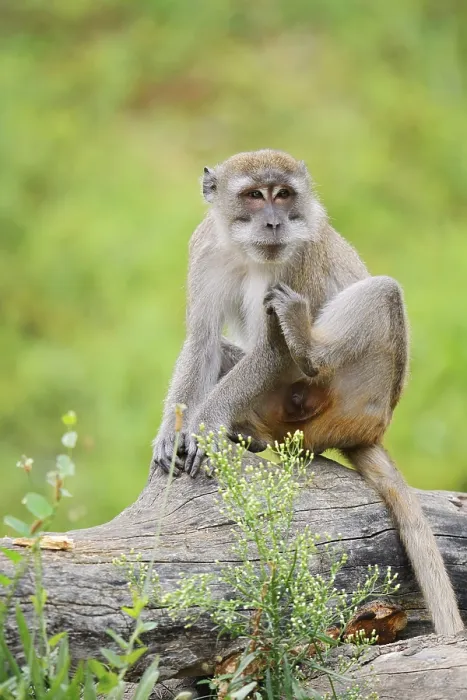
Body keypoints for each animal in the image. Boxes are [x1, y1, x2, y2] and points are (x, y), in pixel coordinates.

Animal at [151, 149, 463, 636]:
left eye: (283, 194)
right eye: (254, 196)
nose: (275, 223)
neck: (245, 251)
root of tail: (371, 429)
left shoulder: (298, 258)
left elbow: (273, 351)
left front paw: (205, 424)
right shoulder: (203, 249)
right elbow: (201, 341)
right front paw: (172, 430)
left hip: (361, 393)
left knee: (383, 292)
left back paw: (307, 347)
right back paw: (250, 433)